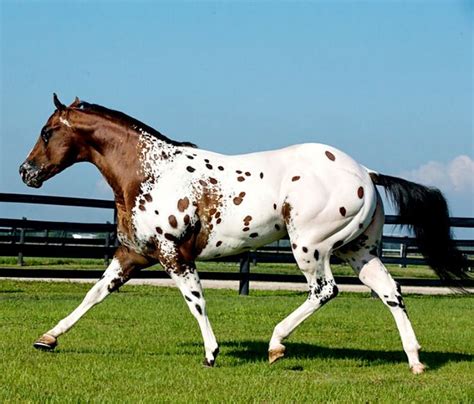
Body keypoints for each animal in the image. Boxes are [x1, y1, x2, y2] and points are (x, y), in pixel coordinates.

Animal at [20, 94, 468, 372]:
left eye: (46, 132)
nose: (26, 172)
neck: (149, 172)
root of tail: (366, 172)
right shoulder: (132, 255)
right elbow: (94, 295)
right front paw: (47, 339)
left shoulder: (173, 255)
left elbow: (195, 301)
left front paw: (211, 354)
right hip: (360, 251)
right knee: (391, 292)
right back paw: (415, 360)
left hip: (311, 247)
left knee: (324, 291)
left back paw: (276, 345)